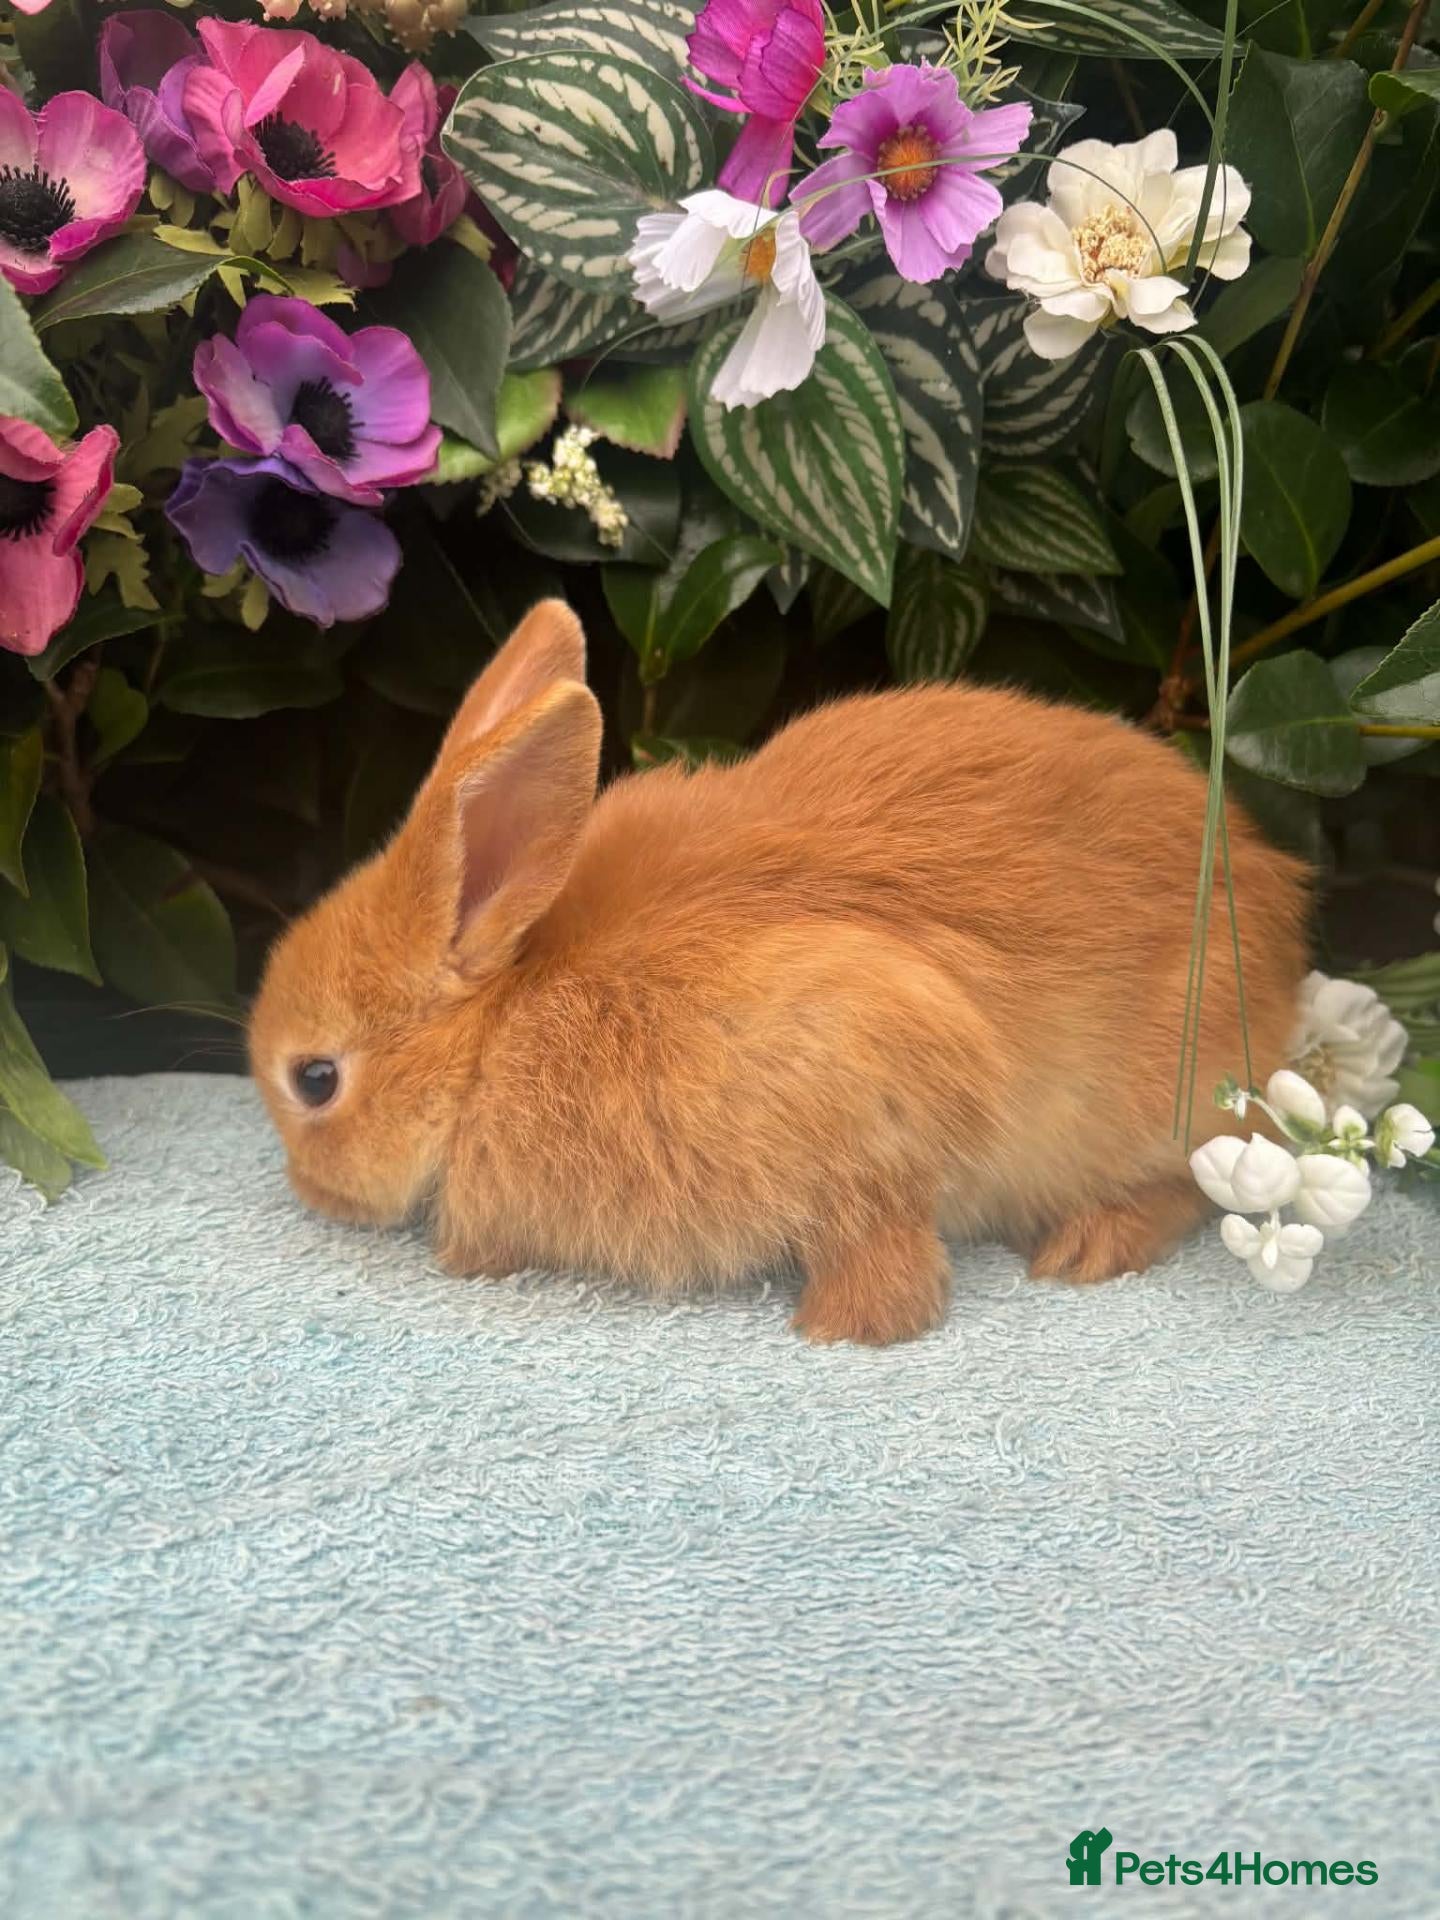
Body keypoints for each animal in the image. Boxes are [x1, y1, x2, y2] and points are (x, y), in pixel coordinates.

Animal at [249, 598, 1310, 1345]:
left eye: (316, 1080)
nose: (308, 1192)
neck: (499, 1023)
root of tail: (1272, 915)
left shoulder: (864, 1084)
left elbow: (880, 1244)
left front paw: (846, 1328)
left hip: (1154, 1103)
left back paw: (1090, 1246)